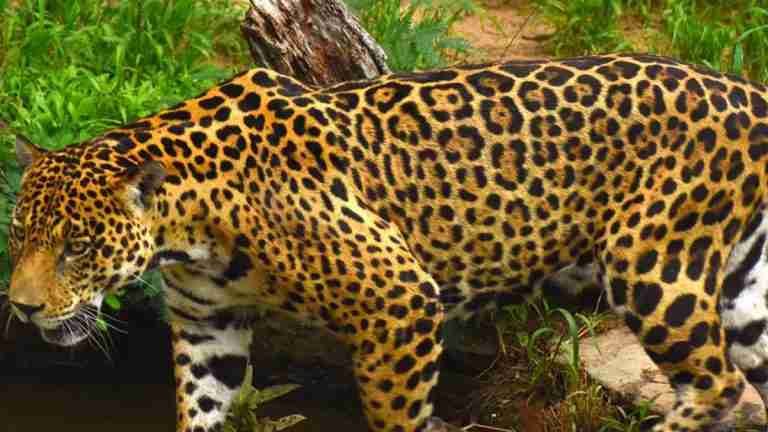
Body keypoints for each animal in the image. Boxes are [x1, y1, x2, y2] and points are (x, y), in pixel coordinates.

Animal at [8, 53, 768, 432]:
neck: (189, 225)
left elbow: (393, 414)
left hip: (652, 266)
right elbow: (201, 410)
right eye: (20, 236)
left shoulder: (397, 304)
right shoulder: (206, 325)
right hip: (746, 291)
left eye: (78, 246)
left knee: (717, 384)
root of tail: (746, 90)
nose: (21, 307)